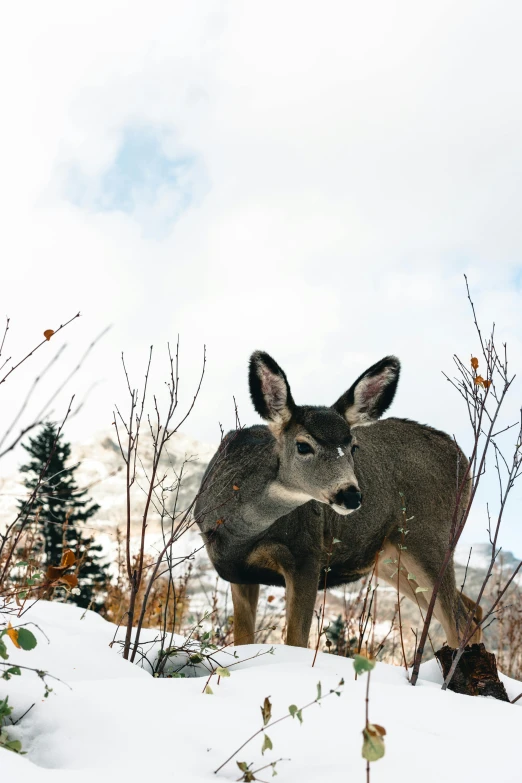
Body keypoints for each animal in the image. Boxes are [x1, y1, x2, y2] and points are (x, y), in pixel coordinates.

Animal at [194, 354, 480, 648]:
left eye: (353, 447)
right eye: (303, 445)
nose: (351, 494)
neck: (240, 531)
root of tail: (463, 457)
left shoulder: (307, 555)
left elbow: (296, 641)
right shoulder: (239, 574)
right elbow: (243, 640)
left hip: (429, 538)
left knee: (460, 620)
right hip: (392, 559)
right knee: (472, 609)